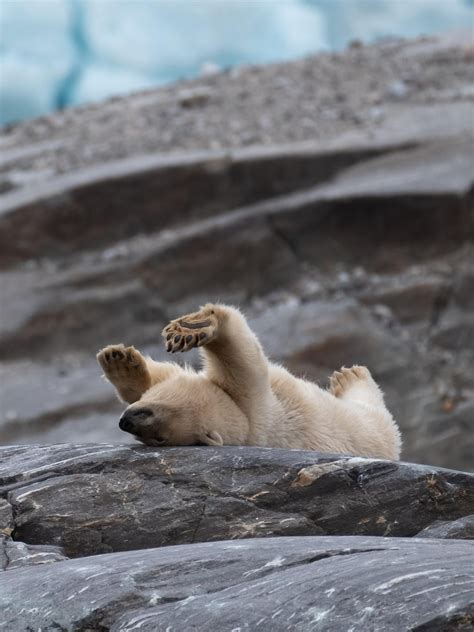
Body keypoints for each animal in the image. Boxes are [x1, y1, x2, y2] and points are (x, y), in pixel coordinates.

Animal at [96, 302, 400, 460]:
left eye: (158, 436)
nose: (125, 422)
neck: (242, 421)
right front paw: (119, 360)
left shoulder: (256, 403)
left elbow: (243, 358)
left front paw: (197, 326)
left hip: (371, 429)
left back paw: (350, 376)